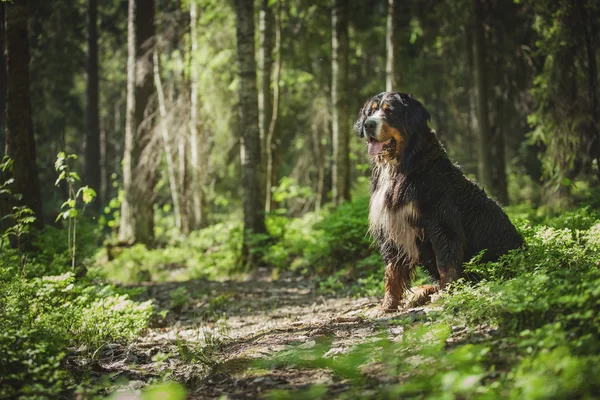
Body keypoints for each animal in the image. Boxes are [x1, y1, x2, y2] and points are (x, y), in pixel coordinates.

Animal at [354, 92, 524, 310]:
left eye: (389, 111)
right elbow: (391, 271)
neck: (401, 167)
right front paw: (387, 306)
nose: (368, 124)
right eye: (370, 111)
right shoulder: (392, 224)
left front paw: (446, 294)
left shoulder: (441, 221)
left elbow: (445, 262)